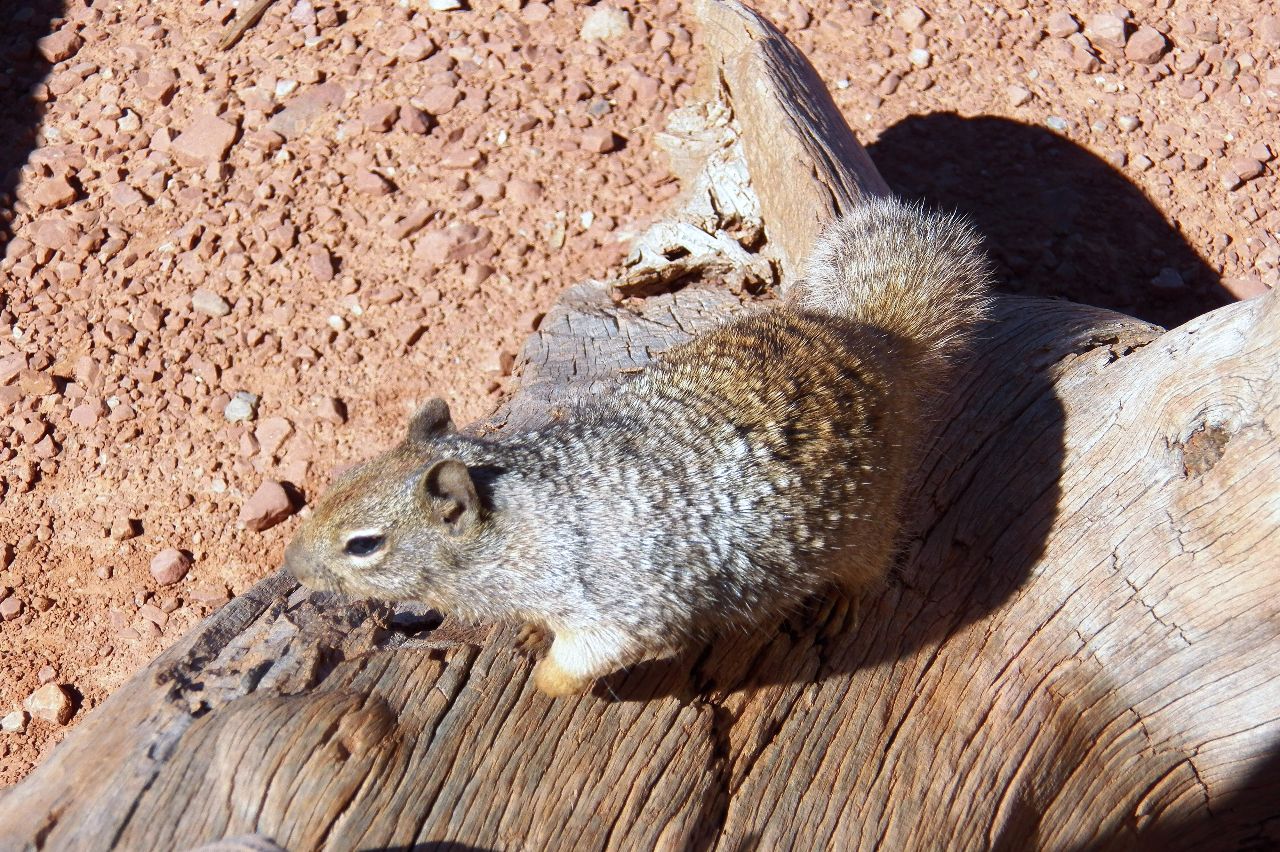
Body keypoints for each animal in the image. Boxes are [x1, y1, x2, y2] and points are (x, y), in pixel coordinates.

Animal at [285, 197, 993, 695]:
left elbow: (587, 658)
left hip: (867, 518)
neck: (521, 523)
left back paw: (844, 600)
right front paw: (528, 634)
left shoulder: (616, 605)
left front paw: (546, 679)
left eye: (364, 545)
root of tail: (875, 340)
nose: (293, 565)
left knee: (873, 562)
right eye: (336, 481)